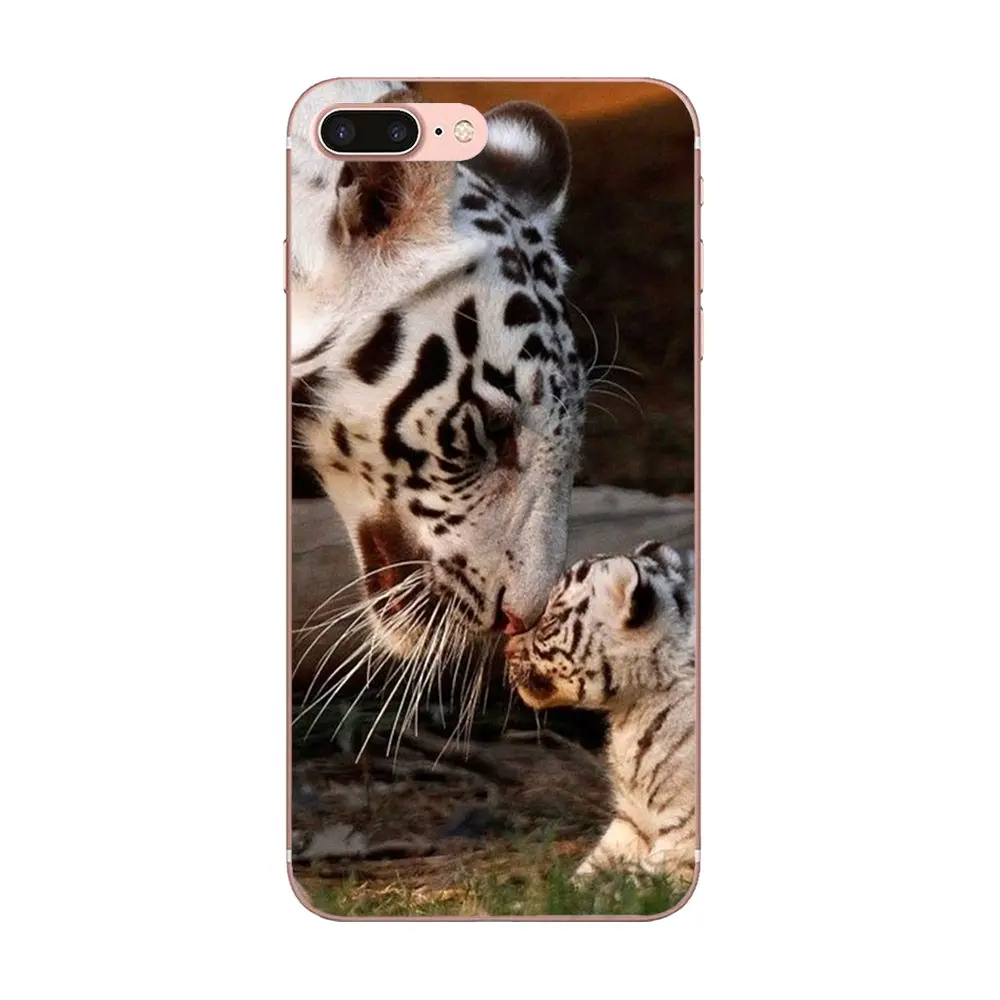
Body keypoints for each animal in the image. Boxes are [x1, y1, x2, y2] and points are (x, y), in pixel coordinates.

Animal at [504, 540, 696, 882]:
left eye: (550, 621)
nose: (506, 649)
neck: (630, 714)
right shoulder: (629, 821)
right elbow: (589, 870)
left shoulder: (682, 833)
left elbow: (636, 882)